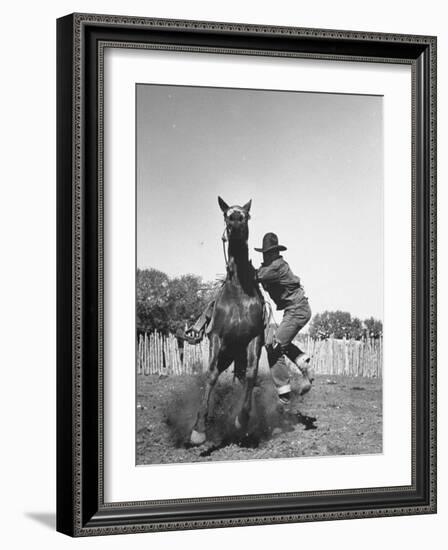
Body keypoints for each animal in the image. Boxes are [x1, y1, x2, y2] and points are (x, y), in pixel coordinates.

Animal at [190, 198, 266, 448]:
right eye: (226, 214)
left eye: (246, 215)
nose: (235, 222)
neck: (239, 292)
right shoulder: (217, 337)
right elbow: (212, 374)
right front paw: (198, 430)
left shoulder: (254, 339)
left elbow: (251, 374)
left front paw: (241, 420)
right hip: (227, 352)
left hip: (237, 354)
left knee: (243, 377)